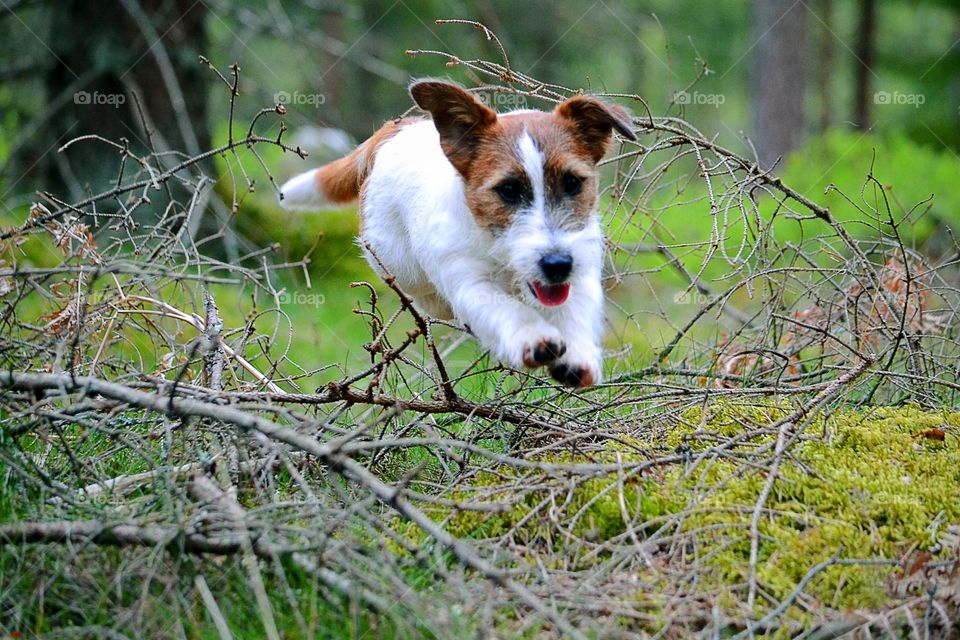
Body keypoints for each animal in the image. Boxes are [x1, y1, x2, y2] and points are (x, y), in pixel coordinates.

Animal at [280, 79, 636, 384]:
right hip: (397, 261)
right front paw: (531, 336)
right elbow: (507, 310)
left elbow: (575, 310)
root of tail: (396, 130)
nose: (557, 264)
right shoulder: (470, 283)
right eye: (508, 190)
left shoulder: (581, 265)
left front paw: (577, 354)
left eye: (572, 182)